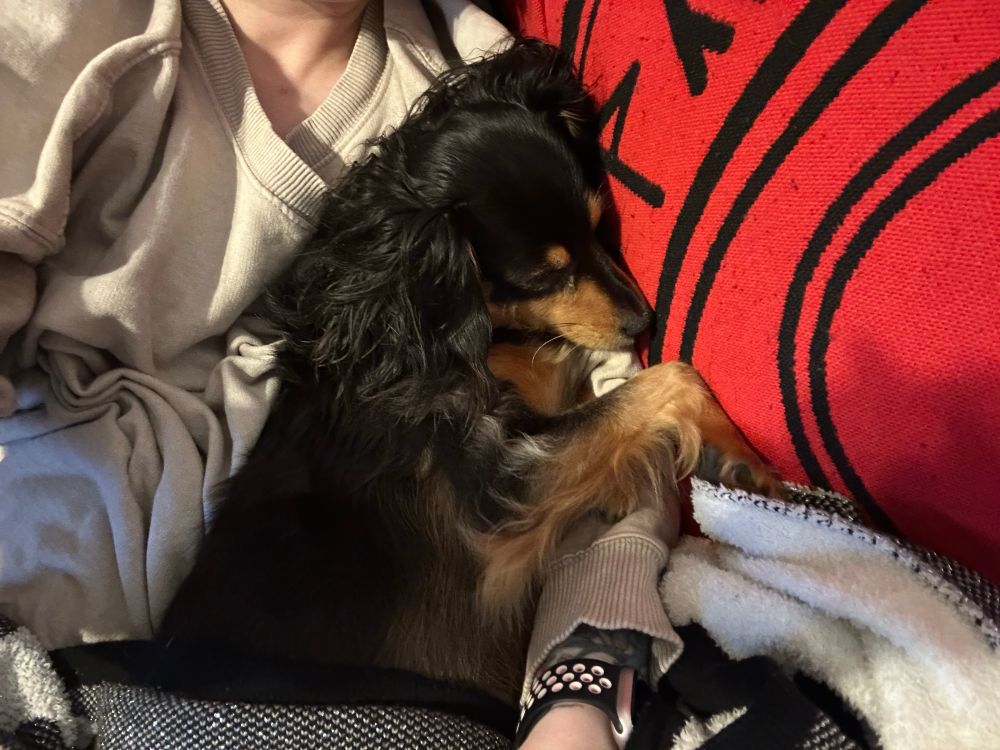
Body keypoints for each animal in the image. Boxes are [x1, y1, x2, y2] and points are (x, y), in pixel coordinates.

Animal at [159, 40, 779, 703]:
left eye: (597, 226)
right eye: (544, 274)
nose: (643, 319)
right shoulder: (503, 489)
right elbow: (671, 378)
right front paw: (752, 466)